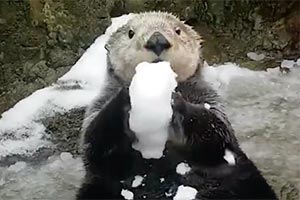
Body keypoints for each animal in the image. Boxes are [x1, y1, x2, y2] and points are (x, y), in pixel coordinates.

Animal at [76, 11, 278, 199]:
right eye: (130, 33)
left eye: (177, 30)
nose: (157, 40)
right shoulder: (97, 107)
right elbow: (94, 146)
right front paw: (126, 95)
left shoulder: (209, 100)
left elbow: (217, 135)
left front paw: (177, 102)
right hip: (96, 189)